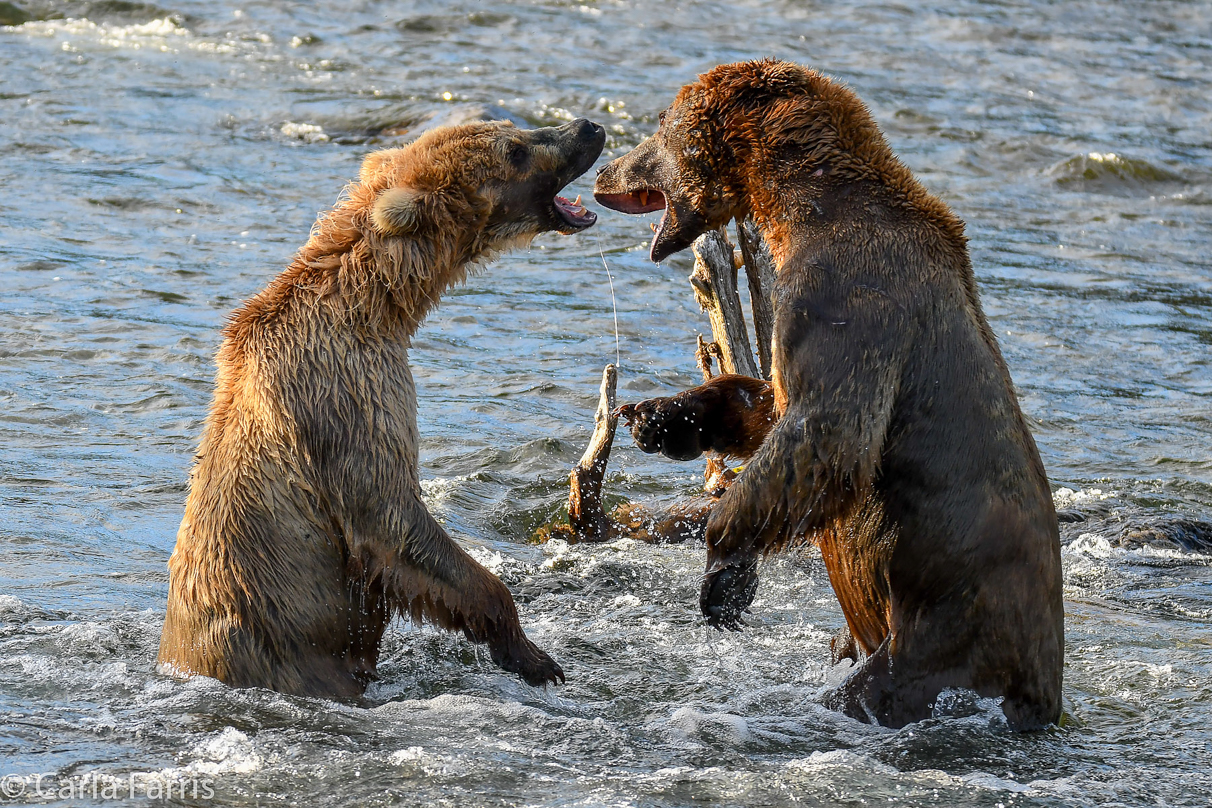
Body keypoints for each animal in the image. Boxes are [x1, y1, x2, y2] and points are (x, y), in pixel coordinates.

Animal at [156, 116, 606, 697]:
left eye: (513, 127)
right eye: (516, 151)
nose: (587, 128)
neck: (378, 305)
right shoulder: (348, 393)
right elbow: (391, 519)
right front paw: (533, 655)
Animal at [593, 59, 1061, 731]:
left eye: (659, 124)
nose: (605, 171)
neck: (797, 210)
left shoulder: (846, 297)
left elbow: (826, 431)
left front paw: (724, 573)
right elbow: (770, 401)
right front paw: (661, 417)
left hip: (947, 630)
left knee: (879, 684)